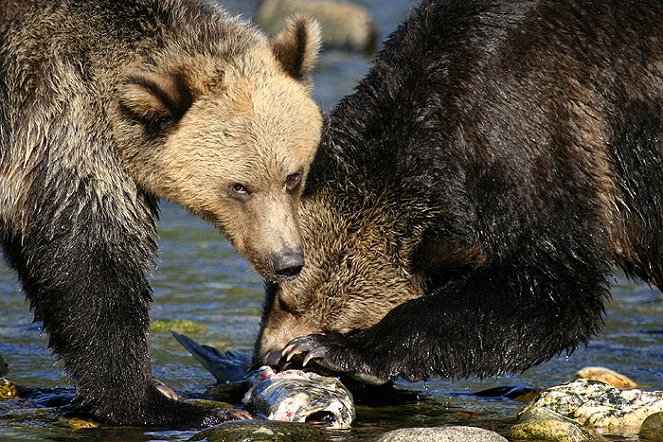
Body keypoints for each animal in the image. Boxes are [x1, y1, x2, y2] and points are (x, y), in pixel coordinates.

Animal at [0, 0, 322, 428]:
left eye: (293, 176)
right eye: (239, 187)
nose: (287, 261)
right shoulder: (59, 124)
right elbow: (90, 263)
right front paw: (153, 400)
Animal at [256, 0, 663, 386]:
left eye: (349, 324)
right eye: (282, 296)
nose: (274, 356)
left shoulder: (540, 130)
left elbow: (551, 283)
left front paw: (334, 349)